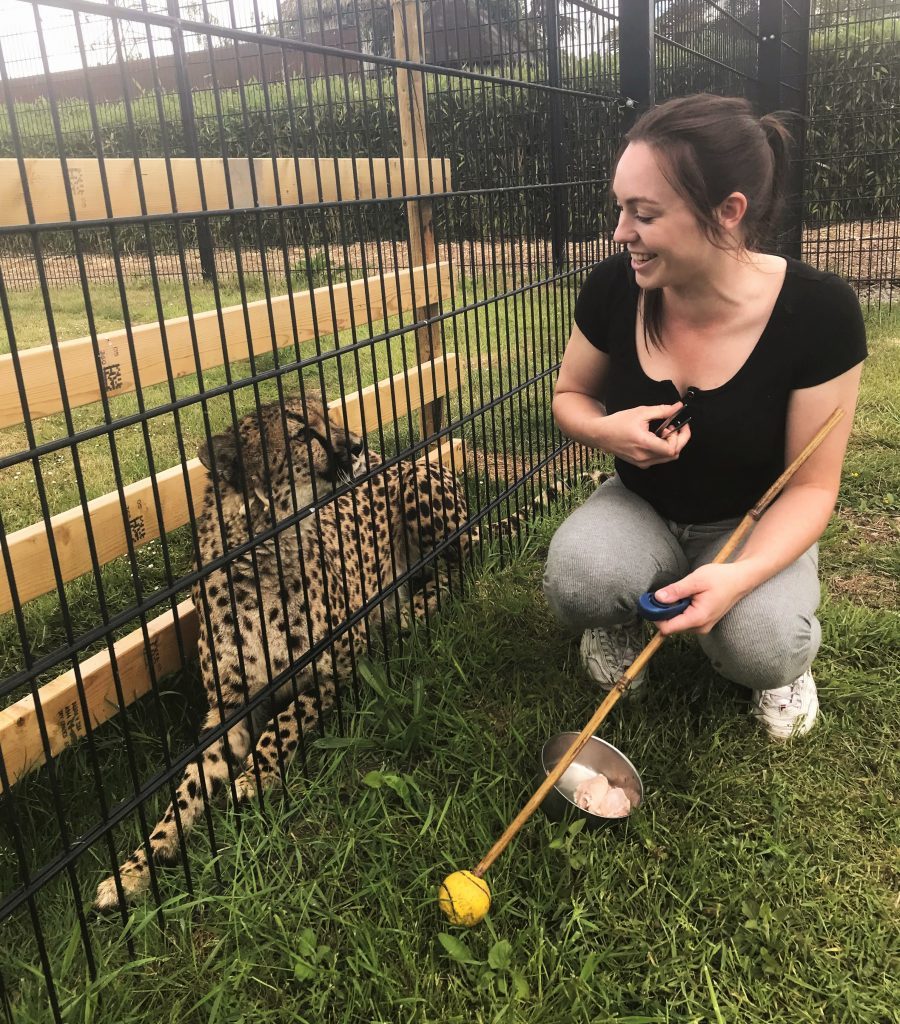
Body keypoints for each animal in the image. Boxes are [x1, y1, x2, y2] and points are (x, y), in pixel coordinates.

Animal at [95, 391, 468, 913]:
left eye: (328, 414)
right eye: (302, 432)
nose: (357, 445)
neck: (263, 556)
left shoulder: (345, 667)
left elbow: (285, 720)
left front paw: (255, 773)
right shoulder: (226, 710)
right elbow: (185, 789)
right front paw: (138, 864)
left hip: (422, 492)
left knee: (460, 564)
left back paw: (408, 608)